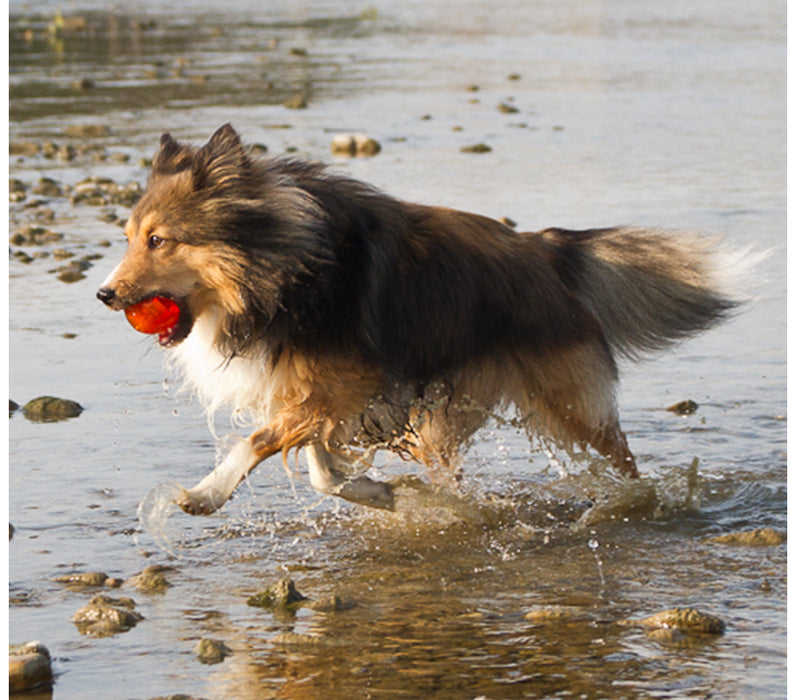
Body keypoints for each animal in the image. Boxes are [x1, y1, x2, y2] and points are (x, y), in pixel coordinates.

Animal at [98, 121, 744, 516]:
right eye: (128, 238)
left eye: (159, 240)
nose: (104, 294)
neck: (283, 267)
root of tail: (544, 248)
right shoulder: (320, 393)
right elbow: (321, 467)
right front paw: (382, 494)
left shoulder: (342, 385)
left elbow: (259, 442)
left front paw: (203, 495)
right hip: (444, 418)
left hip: (567, 404)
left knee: (623, 459)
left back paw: (638, 503)